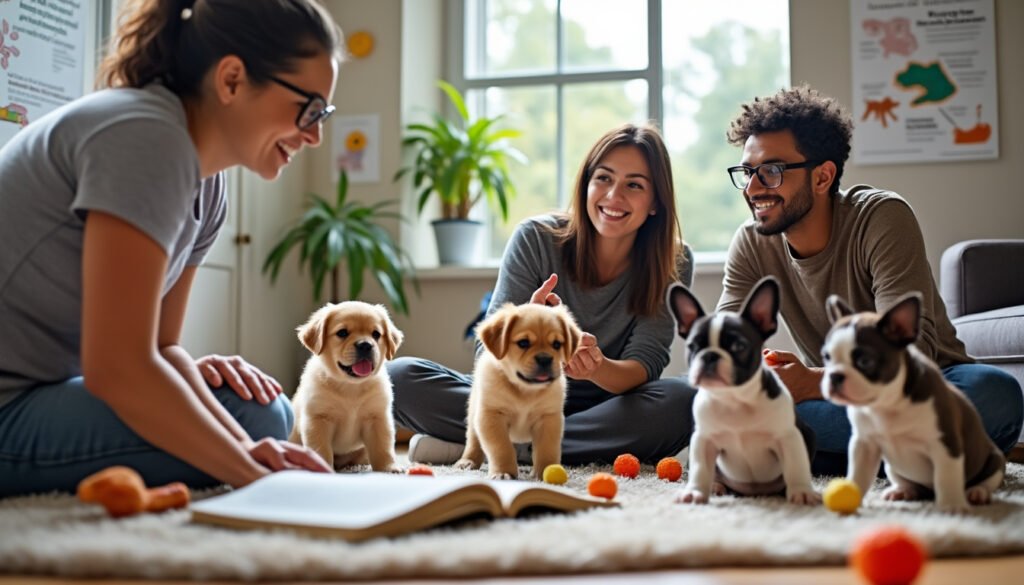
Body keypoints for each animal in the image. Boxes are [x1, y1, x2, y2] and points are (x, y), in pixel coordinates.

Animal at [288, 301, 403, 471]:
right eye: (342, 333)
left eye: (376, 334)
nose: (365, 345)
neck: (350, 387)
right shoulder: (318, 419)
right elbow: (321, 450)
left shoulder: (378, 418)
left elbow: (383, 447)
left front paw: (389, 468)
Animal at [458, 301, 585, 481]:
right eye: (523, 343)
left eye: (557, 344)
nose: (545, 359)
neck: (525, 391)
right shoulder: (491, 416)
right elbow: (501, 448)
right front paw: (504, 472)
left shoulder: (549, 419)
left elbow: (547, 449)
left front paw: (544, 471)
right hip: (474, 417)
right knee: (473, 442)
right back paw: (467, 462)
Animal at [667, 276, 819, 506]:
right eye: (693, 346)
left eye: (739, 346)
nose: (710, 355)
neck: (734, 399)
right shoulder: (703, 440)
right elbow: (701, 468)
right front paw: (695, 492)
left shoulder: (788, 437)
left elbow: (796, 466)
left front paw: (801, 492)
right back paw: (716, 486)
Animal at [819, 293, 1003, 512]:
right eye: (827, 357)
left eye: (865, 361)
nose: (835, 376)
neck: (888, 403)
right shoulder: (864, 445)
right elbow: (858, 474)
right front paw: (849, 495)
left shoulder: (945, 444)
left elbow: (947, 477)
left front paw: (952, 505)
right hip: (892, 467)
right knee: (911, 485)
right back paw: (902, 491)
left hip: (995, 460)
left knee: (987, 480)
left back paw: (977, 492)